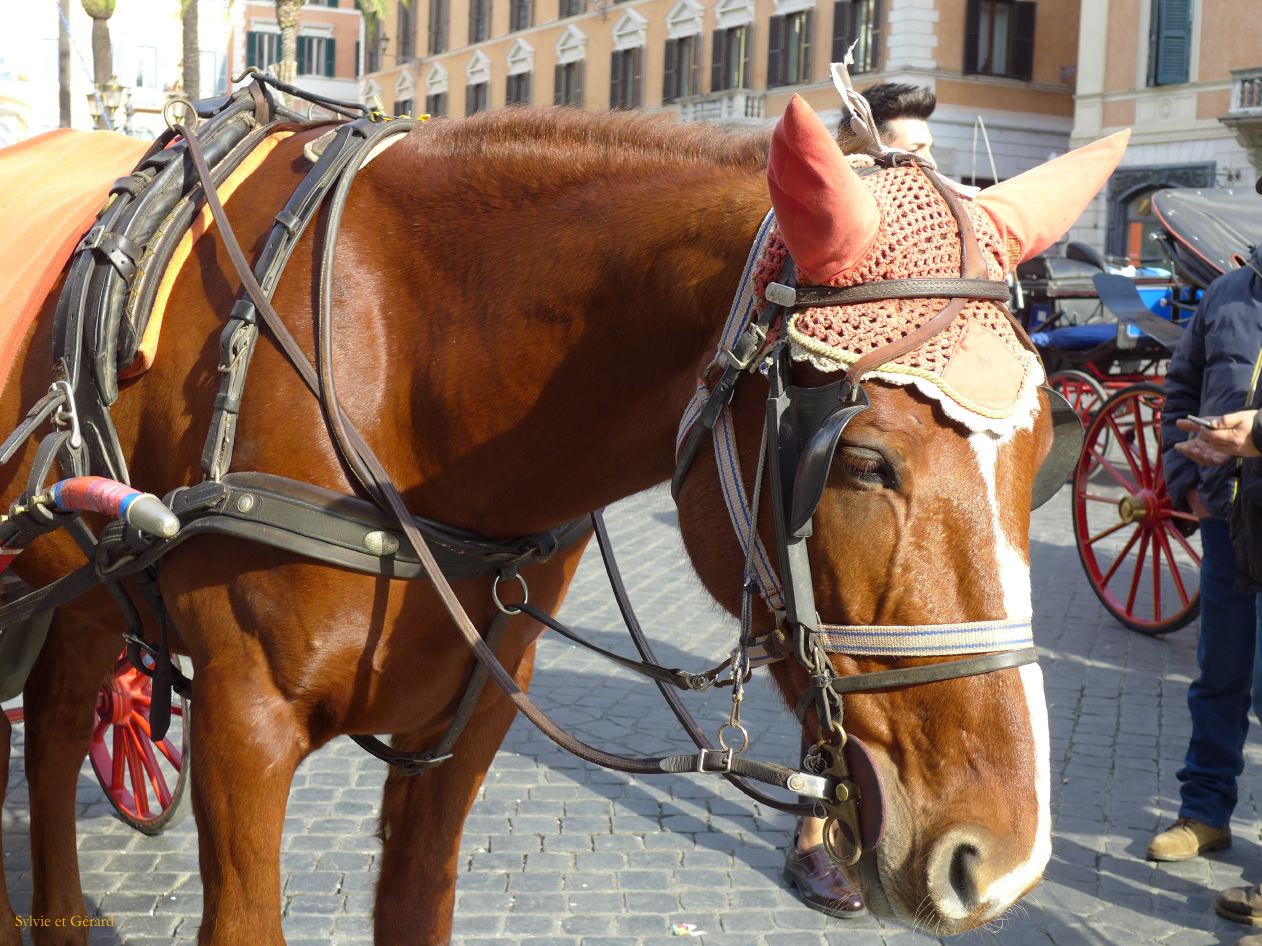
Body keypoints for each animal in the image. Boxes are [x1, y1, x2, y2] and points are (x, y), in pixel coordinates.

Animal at [0, 100, 1125, 943]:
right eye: (858, 460)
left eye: (1048, 449)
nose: (1001, 860)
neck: (399, 352)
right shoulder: (244, 723)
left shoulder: (465, 731)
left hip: (88, 585)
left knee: (54, 714)